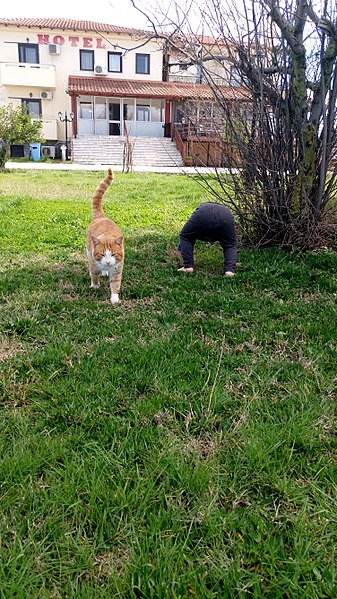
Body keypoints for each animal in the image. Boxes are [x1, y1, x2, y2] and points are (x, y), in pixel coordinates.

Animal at [86, 169, 124, 304]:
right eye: (102, 254)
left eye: (113, 254)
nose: (107, 262)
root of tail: (101, 216)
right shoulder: (93, 263)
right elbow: (94, 274)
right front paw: (95, 286)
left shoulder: (117, 268)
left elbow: (115, 284)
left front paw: (114, 298)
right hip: (88, 251)